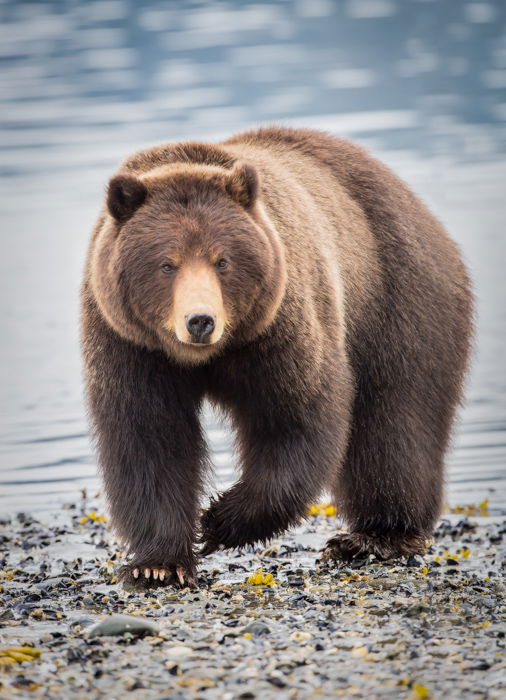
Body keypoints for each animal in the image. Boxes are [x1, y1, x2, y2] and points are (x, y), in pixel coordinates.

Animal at [81, 124, 472, 584]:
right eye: (167, 264)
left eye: (222, 261)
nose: (200, 321)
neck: (209, 357)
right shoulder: (130, 344)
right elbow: (149, 437)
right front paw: (158, 566)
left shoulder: (278, 326)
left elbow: (295, 416)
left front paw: (219, 520)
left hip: (397, 296)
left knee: (395, 420)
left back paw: (375, 536)